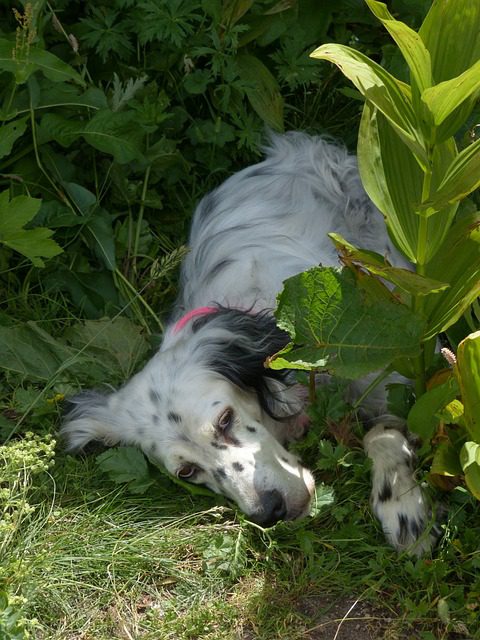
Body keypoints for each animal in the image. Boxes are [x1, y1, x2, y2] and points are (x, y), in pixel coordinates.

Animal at [62, 134, 436, 556]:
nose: (270, 511)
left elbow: (383, 432)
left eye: (225, 420)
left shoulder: (393, 372)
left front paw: (404, 509)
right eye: (187, 471)